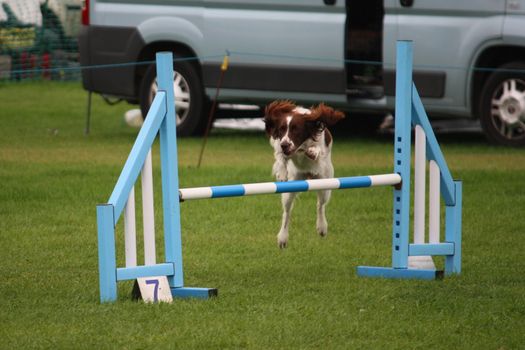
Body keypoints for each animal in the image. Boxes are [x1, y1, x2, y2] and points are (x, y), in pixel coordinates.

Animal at [262, 100, 344, 249]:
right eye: (282, 129)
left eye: (296, 129)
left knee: (320, 205)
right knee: (287, 212)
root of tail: (308, 175)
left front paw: (312, 151)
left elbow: (317, 150)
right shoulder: (279, 144)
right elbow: (280, 156)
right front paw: (282, 173)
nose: (285, 144)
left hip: (325, 183)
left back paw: (322, 227)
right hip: (291, 188)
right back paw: (283, 238)